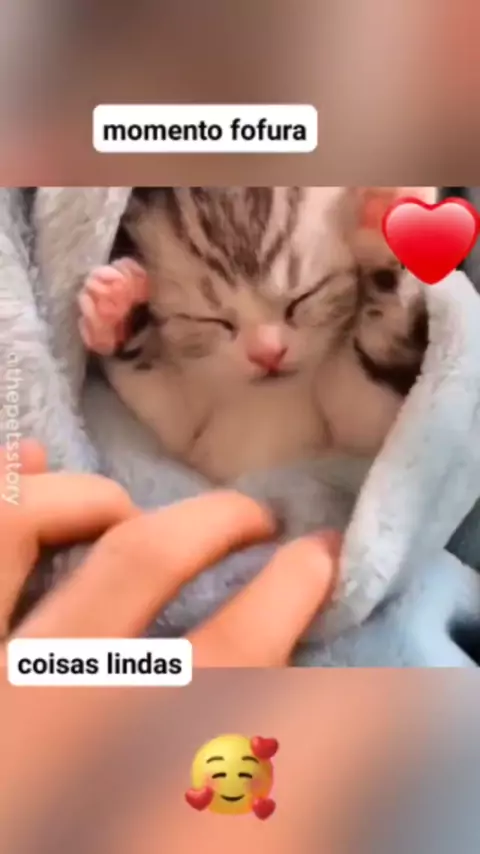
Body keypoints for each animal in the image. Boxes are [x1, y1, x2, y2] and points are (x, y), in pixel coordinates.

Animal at [77, 186, 434, 483]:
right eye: (216, 321)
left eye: (300, 301)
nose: (268, 354)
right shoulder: (177, 428)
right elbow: (164, 412)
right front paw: (118, 311)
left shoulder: (360, 433)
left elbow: (369, 412)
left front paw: (388, 222)